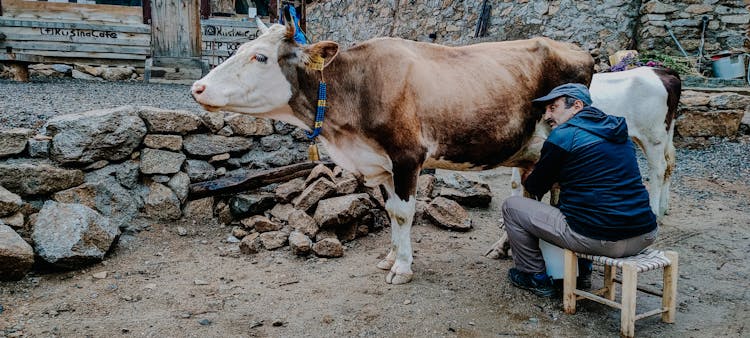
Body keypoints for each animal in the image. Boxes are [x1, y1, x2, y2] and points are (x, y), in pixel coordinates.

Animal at [194, 17, 600, 284]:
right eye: (240, 49)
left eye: (261, 57)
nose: (198, 88)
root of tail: (576, 50)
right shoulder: (380, 165)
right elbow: (390, 211)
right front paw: (388, 257)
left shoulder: (407, 157)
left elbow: (404, 214)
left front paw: (402, 267)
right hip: (527, 153)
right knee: (526, 193)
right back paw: (504, 249)